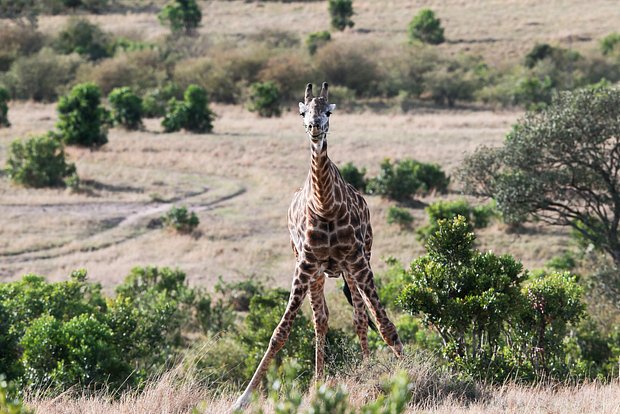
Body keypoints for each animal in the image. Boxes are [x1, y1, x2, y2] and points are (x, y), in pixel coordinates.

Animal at [232, 82, 402, 410]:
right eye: (303, 112)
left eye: (328, 112)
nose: (315, 126)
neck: (325, 205)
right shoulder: (305, 264)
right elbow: (280, 333)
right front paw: (242, 400)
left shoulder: (358, 260)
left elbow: (384, 324)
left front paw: (408, 372)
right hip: (318, 274)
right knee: (321, 321)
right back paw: (319, 382)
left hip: (353, 265)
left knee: (360, 319)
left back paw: (365, 368)